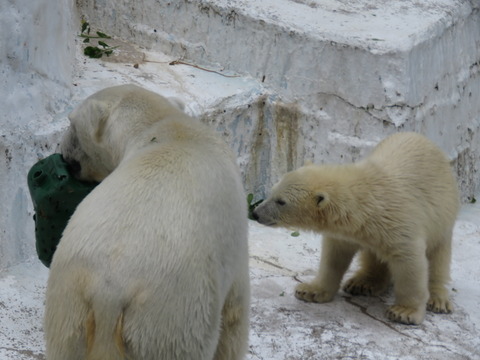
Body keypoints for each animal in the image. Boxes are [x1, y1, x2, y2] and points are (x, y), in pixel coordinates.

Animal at [44, 85, 251, 360]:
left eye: (70, 123)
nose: (63, 152)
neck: (162, 128)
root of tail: (108, 293)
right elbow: (234, 316)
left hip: (70, 303)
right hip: (170, 317)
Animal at [253, 133, 460, 326]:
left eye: (281, 201)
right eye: (272, 191)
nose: (256, 213)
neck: (365, 203)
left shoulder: (399, 222)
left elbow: (410, 263)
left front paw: (404, 312)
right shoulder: (349, 232)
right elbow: (333, 258)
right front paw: (310, 290)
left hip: (443, 213)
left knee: (438, 256)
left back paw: (437, 299)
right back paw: (362, 283)